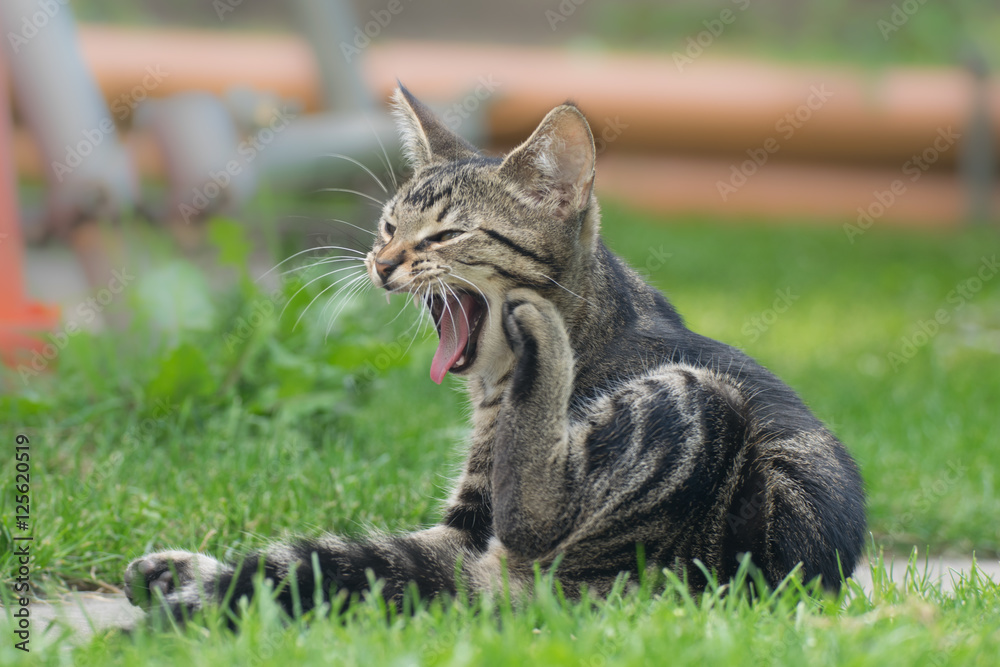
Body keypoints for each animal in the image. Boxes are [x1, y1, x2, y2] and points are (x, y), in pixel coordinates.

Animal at [121, 86, 864, 620]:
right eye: (388, 225)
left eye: (446, 234)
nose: (381, 263)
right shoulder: (461, 528)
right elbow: (377, 552)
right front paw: (183, 569)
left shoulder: (473, 517)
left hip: (702, 401)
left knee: (534, 515)